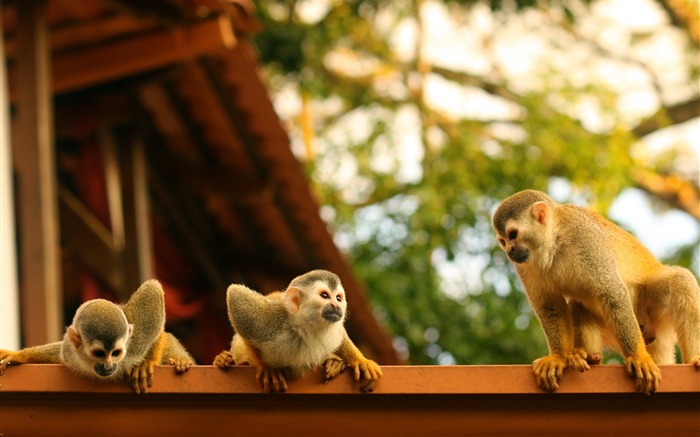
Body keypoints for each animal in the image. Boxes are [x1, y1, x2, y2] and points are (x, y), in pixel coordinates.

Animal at [0, 282, 194, 394]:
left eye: (116, 353)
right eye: (100, 353)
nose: (108, 366)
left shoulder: (135, 345)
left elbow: (152, 295)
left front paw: (145, 364)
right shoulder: (70, 352)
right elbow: (58, 353)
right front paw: (19, 355)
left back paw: (180, 360)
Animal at [213, 270, 382, 392]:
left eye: (338, 298)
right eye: (325, 296)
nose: (336, 306)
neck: (304, 328)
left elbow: (341, 335)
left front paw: (359, 360)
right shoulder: (271, 319)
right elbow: (236, 295)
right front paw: (267, 368)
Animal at [492, 189, 700, 394]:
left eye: (513, 234)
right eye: (503, 241)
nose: (509, 251)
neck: (552, 243)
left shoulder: (584, 238)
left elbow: (612, 292)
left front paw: (637, 357)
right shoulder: (525, 266)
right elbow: (550, 306)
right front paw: (558, 358)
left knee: (681, 281)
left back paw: (694, 358)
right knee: (579, 305)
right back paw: (588, 357)